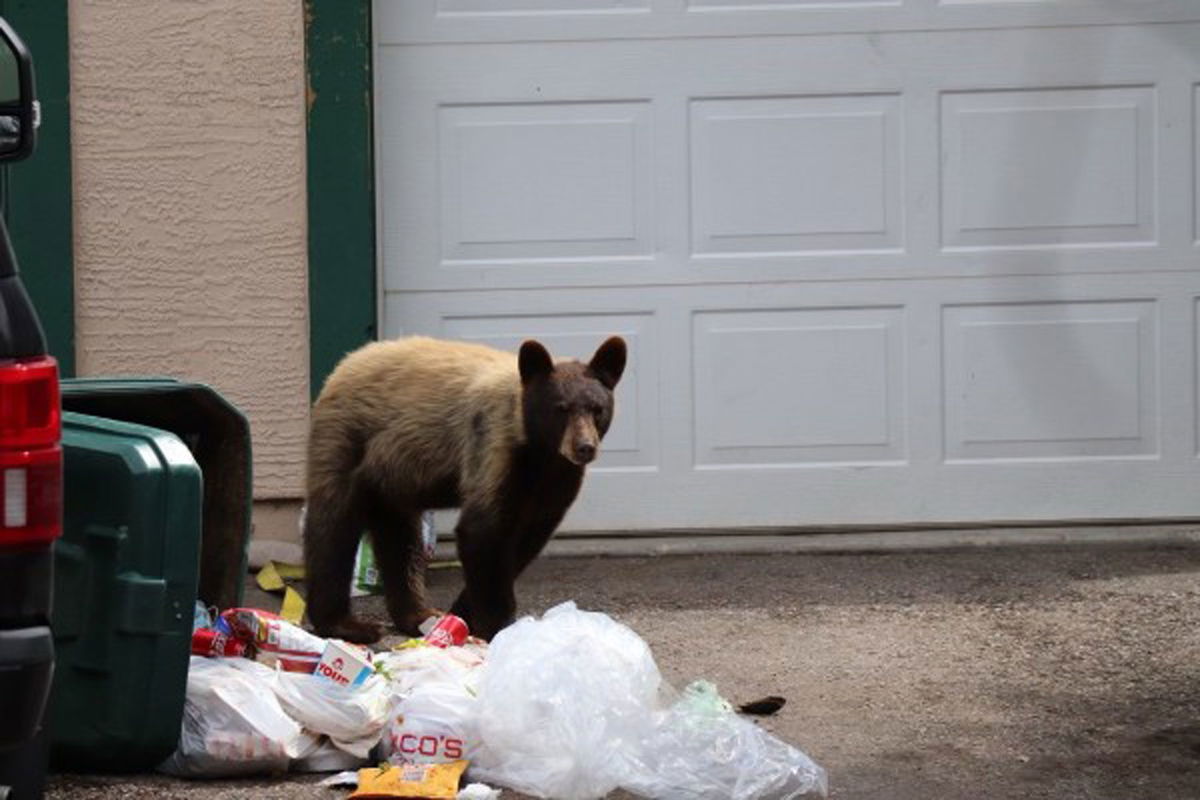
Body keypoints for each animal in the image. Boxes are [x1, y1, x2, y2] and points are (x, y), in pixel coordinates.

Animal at [302, 333, 628, 642]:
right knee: (333, 526)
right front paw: (497, 626)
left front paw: (461, 616)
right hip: (347, 439)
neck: (540, 453)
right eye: (561, 409)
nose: (584, 447)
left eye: (597, 409)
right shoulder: (493, 447)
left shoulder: (555, 483)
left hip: (392, 480)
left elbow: (526, 541)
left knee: (399, 538)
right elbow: (482, 531)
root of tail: (343, 365)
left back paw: (418, 615)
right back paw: (344, 624)